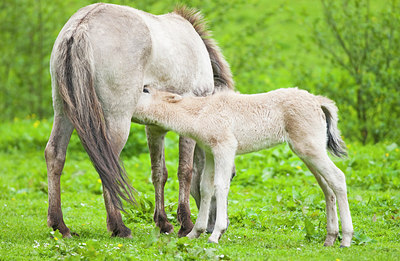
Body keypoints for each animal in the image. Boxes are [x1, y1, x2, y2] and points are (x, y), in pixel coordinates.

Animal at [46, 2, 234, 238]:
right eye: (232, 175)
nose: (215, 226)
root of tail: (80, 26)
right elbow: (185, 171)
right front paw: (186, 224)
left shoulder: (154, 128)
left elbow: (159, 173)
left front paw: (163, 223)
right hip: (116, 120)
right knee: (108, 164)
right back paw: (119, 226)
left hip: (63, 112)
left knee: (55, 154)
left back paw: (60, 225)